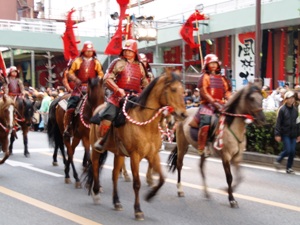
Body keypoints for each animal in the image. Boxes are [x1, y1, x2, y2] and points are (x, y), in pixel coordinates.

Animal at [85, 71, 188, 220]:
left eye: (183, 91)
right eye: (173, 89)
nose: (183, 114)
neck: (146, 123)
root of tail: (98, 108)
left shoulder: (153, 154)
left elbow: (162, 179)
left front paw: (150, 195)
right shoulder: (135, 155)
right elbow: (137, 183)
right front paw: (138, 210)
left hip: (119, 153)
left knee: (114, 175)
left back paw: (116, 201)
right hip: (96, 149)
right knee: (94, 166)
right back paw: (96, 192)